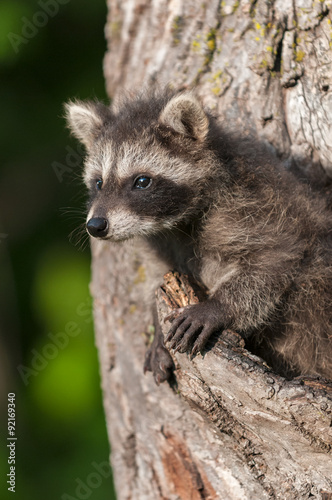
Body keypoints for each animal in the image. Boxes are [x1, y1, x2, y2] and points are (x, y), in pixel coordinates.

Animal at [65, 89, 332, 382]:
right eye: (99, 183)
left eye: (142, 182)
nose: (96, 225)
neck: (174, 224)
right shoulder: (162, 244)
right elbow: (159, 276)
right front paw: (156, 322)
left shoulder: (260, 209)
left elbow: (274, 260)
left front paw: (219, 306)